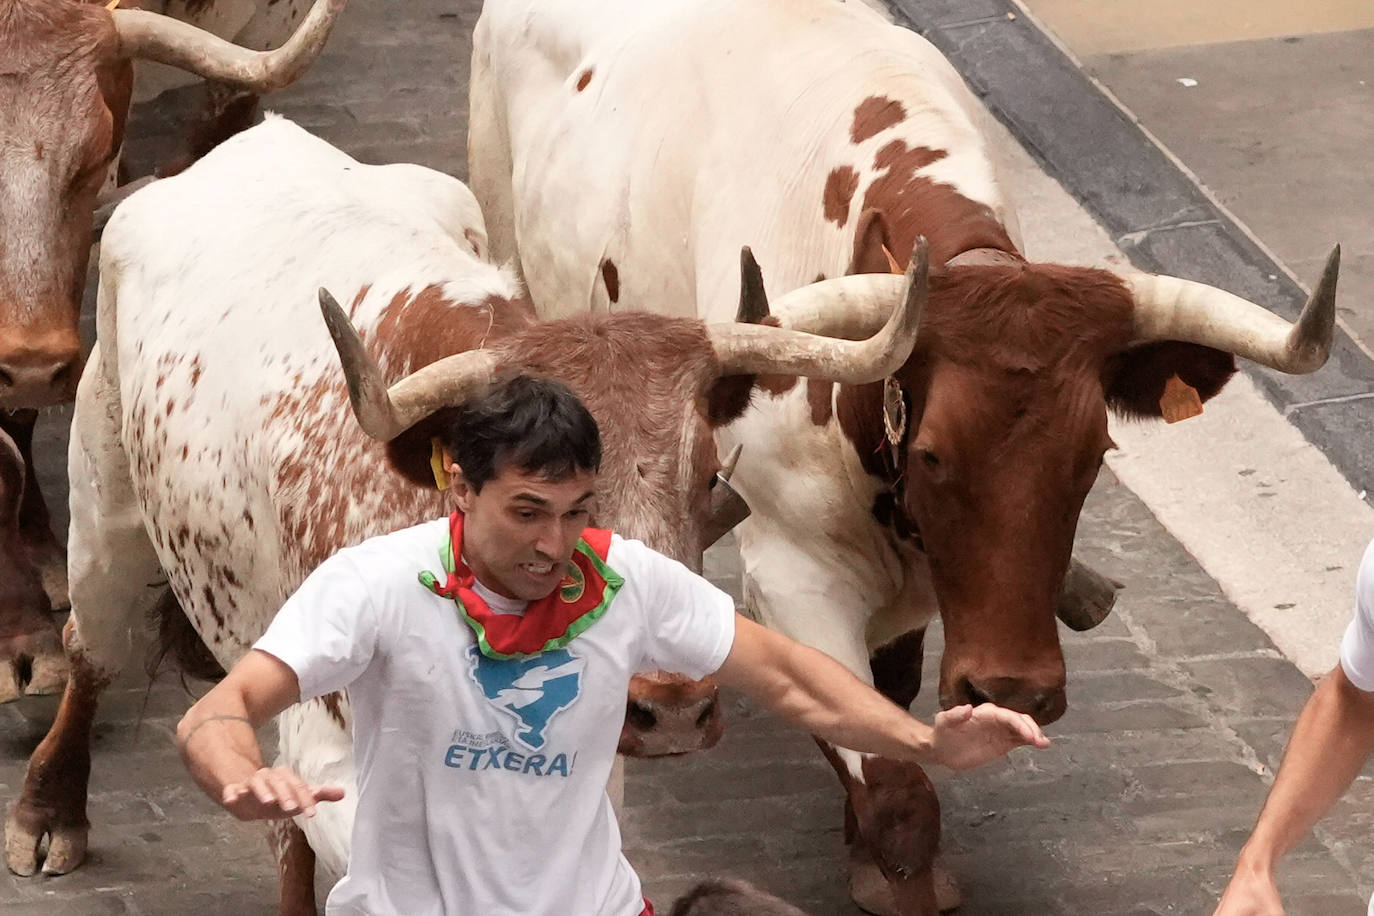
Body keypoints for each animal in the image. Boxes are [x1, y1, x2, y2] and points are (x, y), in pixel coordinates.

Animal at [5, 120, 928, 911]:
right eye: (536, 502)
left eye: (705, 476)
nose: (671, 707)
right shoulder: (330, 743)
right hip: (107, 504)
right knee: (95, 651)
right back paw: (50, 811)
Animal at [467, 3, 1335, 911]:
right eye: (932, 455)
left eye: (1094, 452)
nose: (1013, 690)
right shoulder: (793, 575)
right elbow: (900, 797)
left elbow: (887, 699)